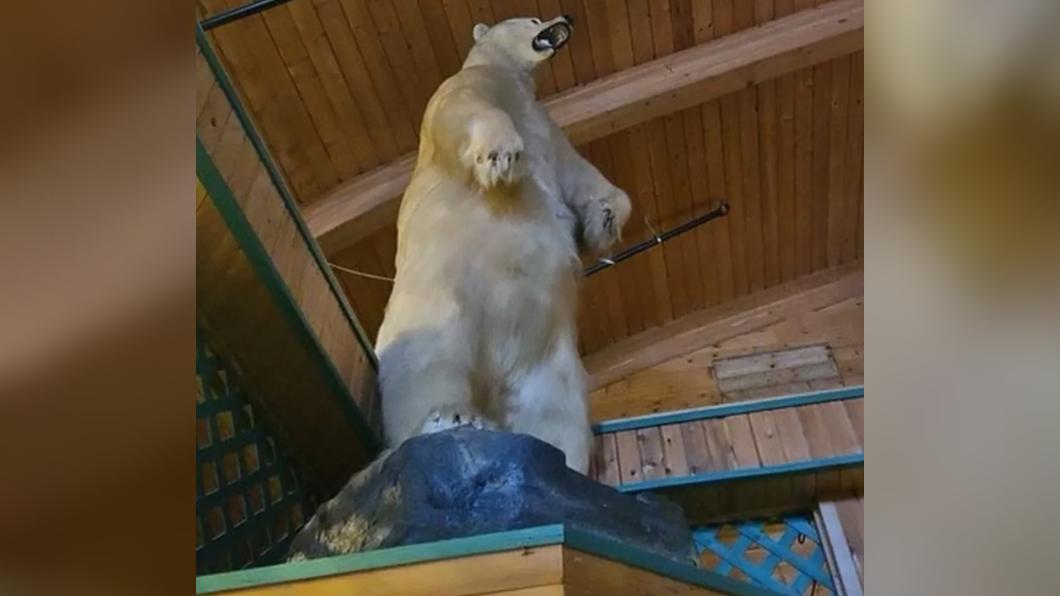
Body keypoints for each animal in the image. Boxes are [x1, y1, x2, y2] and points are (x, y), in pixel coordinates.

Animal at [374, 15, 631, 474]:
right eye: (532, 18)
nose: (564, 18)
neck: (512, 78)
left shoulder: (549, 129)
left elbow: (579, 173)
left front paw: (606, 218)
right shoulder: (466, 86)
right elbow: (464, 110)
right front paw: (502, 155)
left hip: (546, 354)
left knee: (554, 409)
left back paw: (559, 461)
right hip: (438, 300)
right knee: (425, 363)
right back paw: (445, 419)